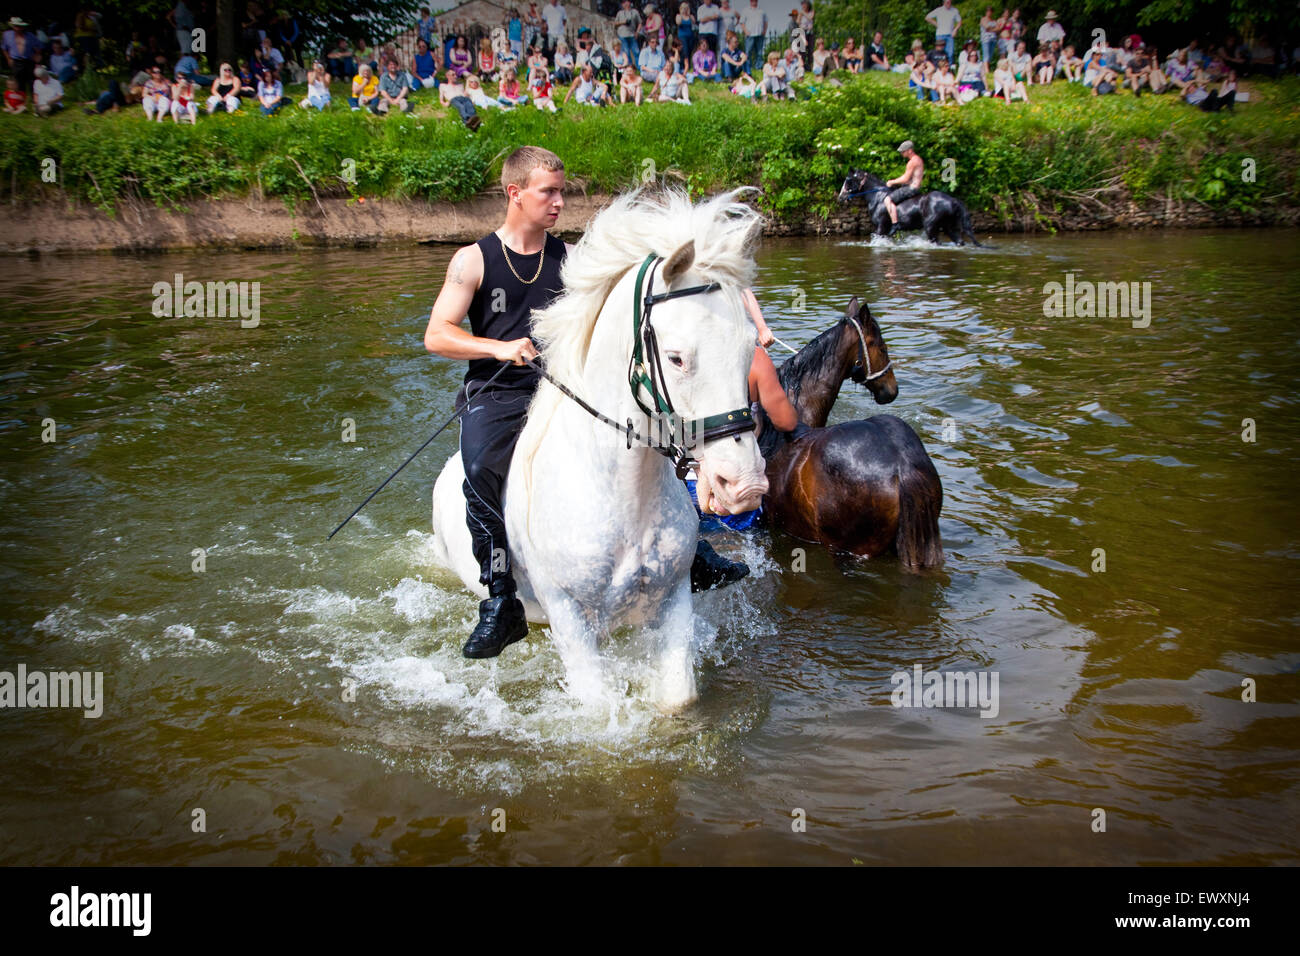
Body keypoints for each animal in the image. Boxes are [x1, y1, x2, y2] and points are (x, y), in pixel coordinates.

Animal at [430, 188, 768, 710]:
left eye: (751, 345)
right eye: (676, 357)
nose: (744, 485)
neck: (624, 494)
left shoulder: (673, 599)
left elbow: (679, 696)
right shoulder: (569, 617)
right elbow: (598, 704)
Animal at [837, 169, 983, 246]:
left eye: (848, 181)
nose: (840, 197)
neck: (877, 197)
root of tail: (953, 200)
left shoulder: (881, 228)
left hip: (931, 227)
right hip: (949, 227)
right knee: (959, 241)